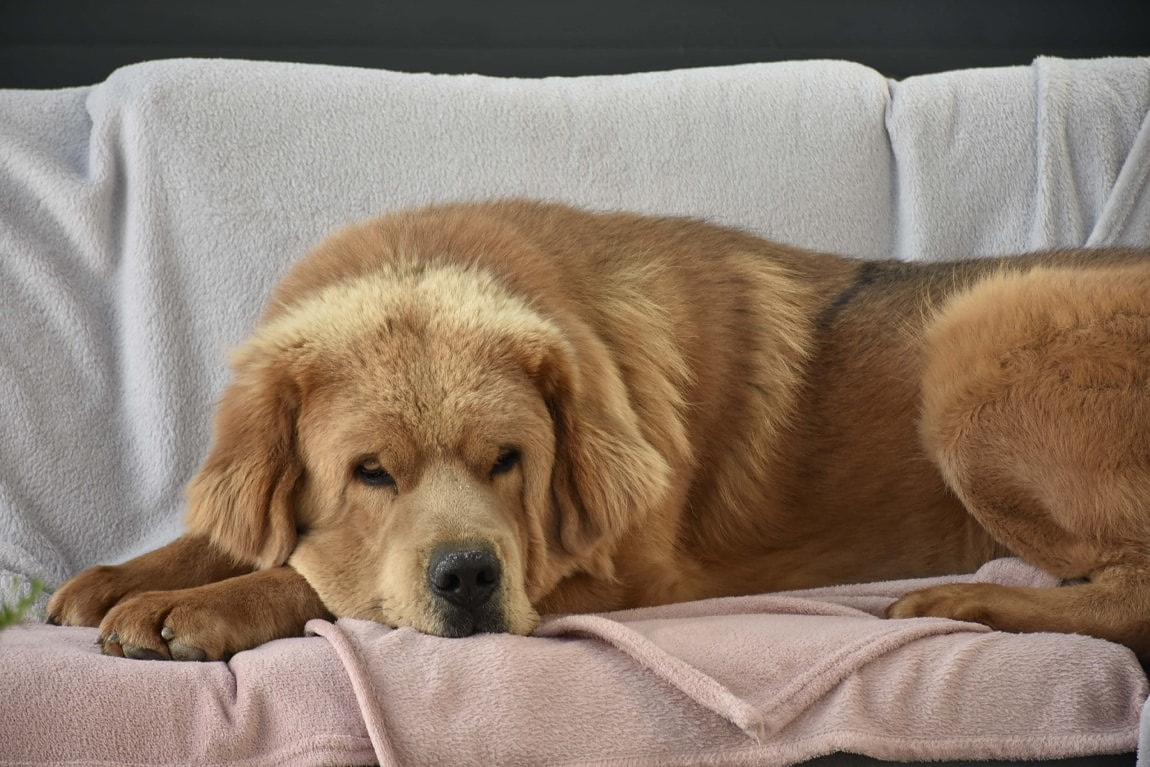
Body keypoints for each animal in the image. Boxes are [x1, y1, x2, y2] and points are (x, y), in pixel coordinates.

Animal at [44, 201, 1150, 662]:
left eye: (509, 461)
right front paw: (120, 576)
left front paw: (200, 604)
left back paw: (963, 600)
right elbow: (231, 528)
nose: (468, 575)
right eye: (369, 472)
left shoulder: (615, 571)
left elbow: (312, 575)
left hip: (972, 352)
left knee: (1130, 592)